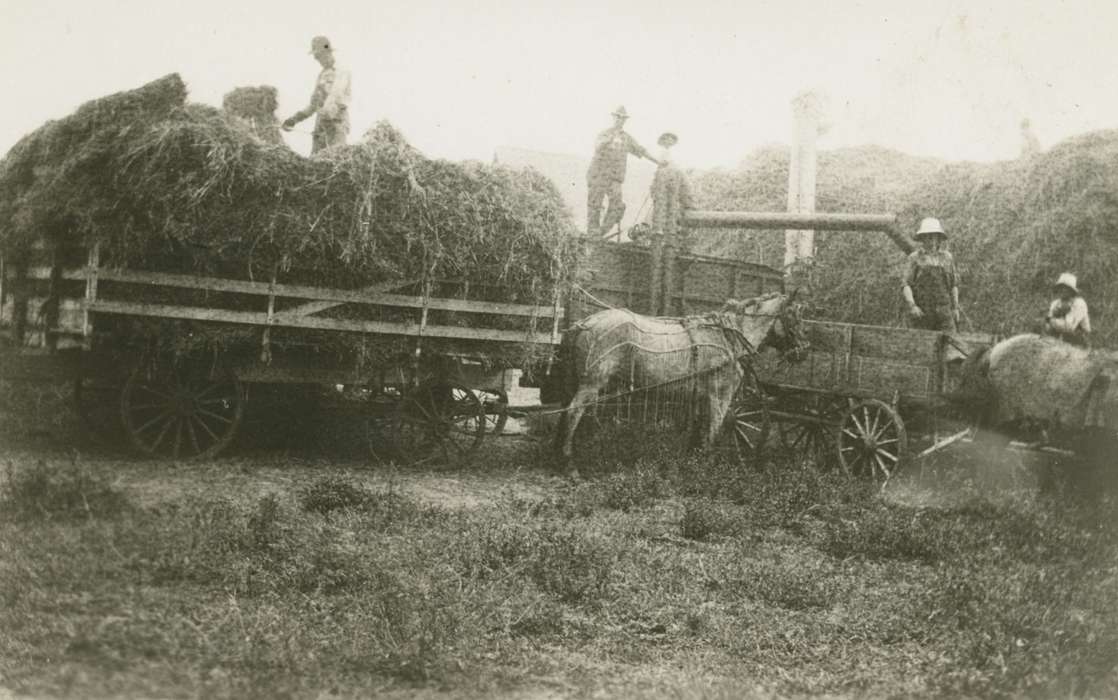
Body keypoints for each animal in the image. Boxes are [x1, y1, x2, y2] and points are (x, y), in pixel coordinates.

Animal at [556, 290, 804, 465]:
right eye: (793, 317)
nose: (803, 350)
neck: (727, 337)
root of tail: (585, 323)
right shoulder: (720, 395)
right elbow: (715, 429)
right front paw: (707, 464)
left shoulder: (701, 396)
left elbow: (699, 428)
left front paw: (692, 459)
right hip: (591, 383)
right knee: (573, 411)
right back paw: (569, 462)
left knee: (566, 410)